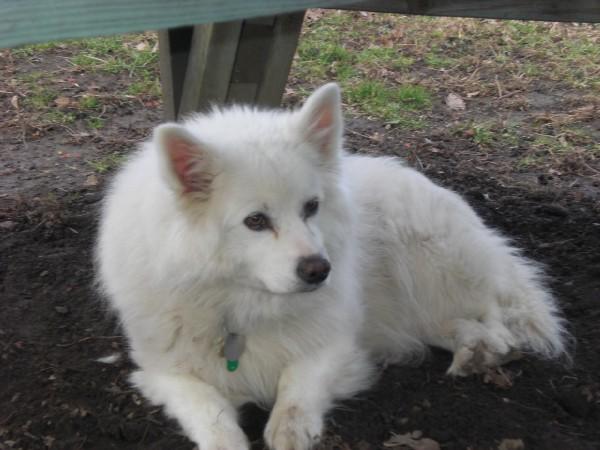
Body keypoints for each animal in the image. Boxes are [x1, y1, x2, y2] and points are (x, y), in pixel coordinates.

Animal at [96, 82, 564, 448]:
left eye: (311, 207)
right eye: (256, 221)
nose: (319, 271)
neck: (241, 304)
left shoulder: (335, 346)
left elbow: (296, 391)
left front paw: (291, 430)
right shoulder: (165, 374)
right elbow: (212, 416)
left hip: (433, 268)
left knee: (499, 322)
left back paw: (484, 351)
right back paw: (472, 352)